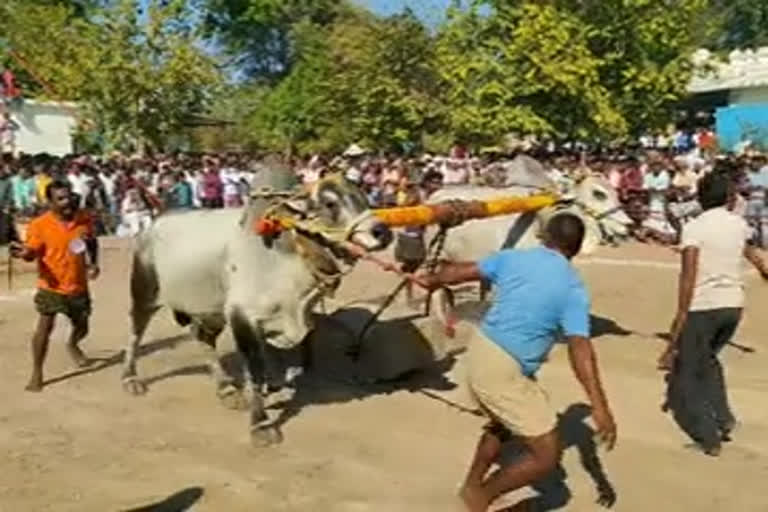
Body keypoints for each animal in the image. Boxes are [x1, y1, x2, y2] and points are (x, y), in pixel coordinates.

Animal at [124, 170, 396, 446]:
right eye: (330, 203)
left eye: (364, 198)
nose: (382, 232)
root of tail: (155, 222)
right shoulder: (242, 316)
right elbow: (256, 370)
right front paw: (261, 424)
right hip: (144, 292)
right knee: (135, 334)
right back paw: (130, 379)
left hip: (212, 309)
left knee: (202, 338)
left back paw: (226, 389)